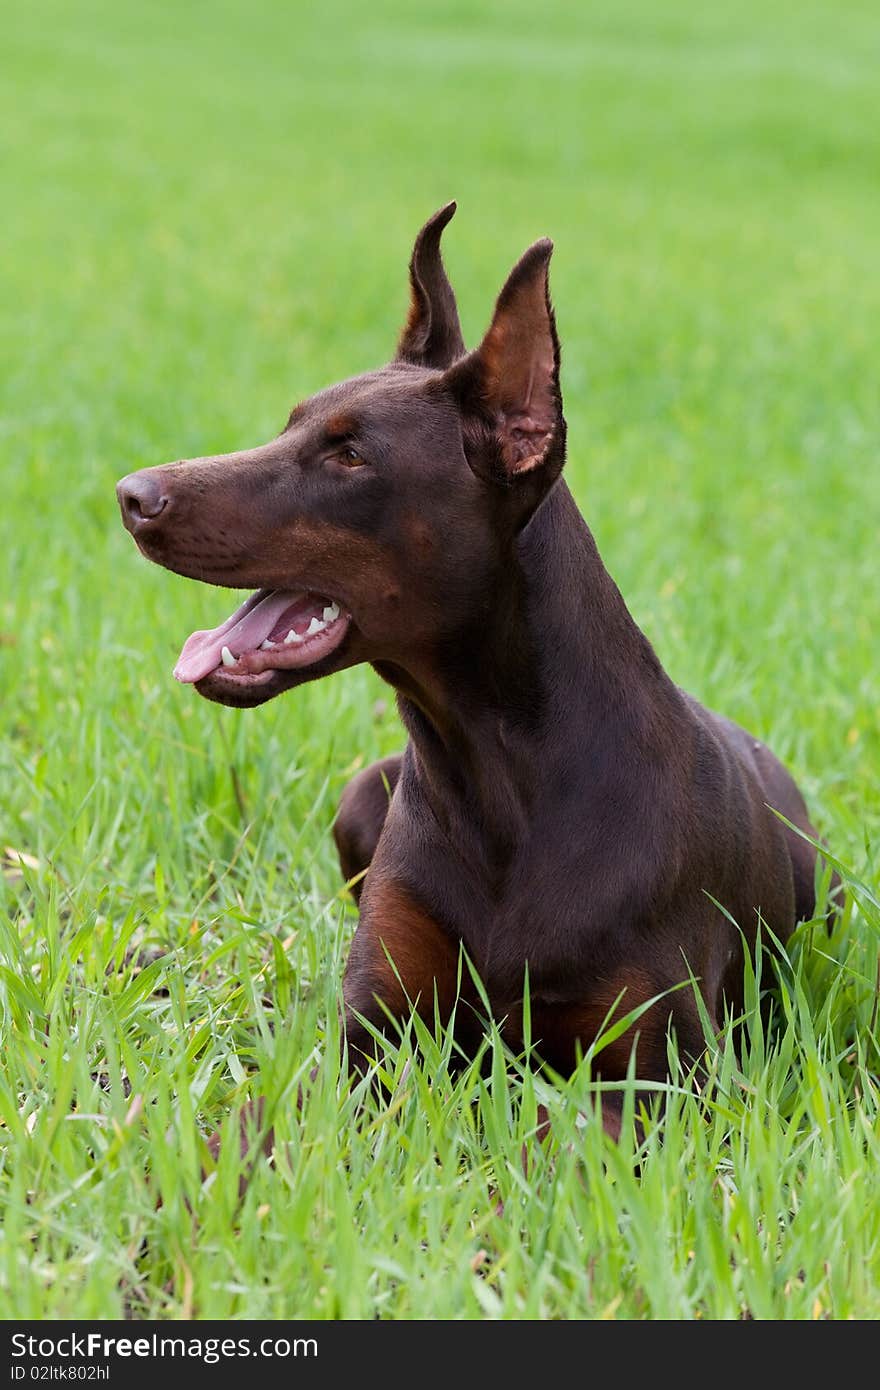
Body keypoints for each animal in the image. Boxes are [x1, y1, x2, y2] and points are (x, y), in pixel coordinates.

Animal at [116, 205, 828, 1139]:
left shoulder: (657, 1083)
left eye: (351, 457)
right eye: (290, 424)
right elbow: (261, 1120)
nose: (131, 495)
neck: (501, 775)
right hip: (364, 795)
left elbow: (548, 1147)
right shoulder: (370, 1034)